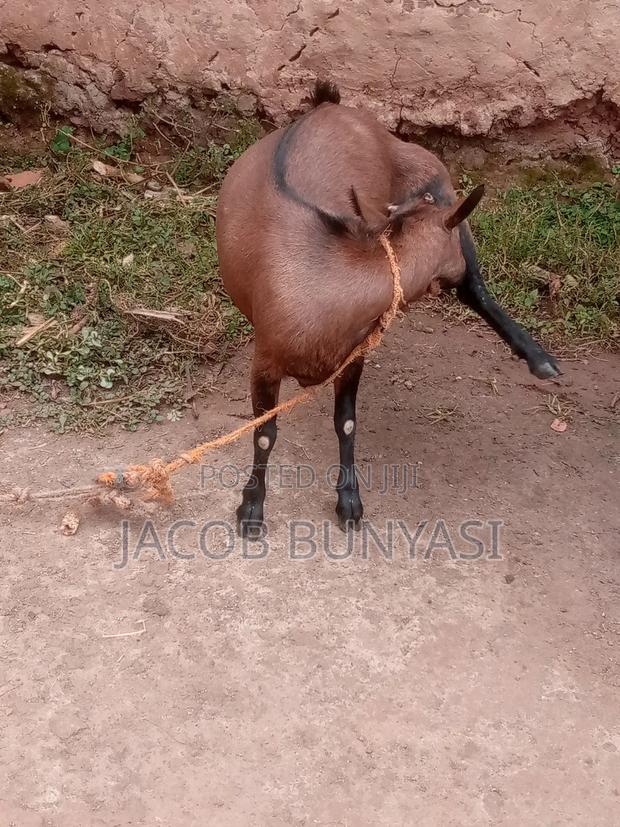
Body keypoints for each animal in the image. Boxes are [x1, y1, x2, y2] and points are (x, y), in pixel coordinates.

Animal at [216, 81, 559, 538]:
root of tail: (329, 106)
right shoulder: (266, 360)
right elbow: (264, 434)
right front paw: (252, 509)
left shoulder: (354, 354)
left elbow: (345, 421)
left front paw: (349, 501)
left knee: (476, 289)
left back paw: (538, 358)